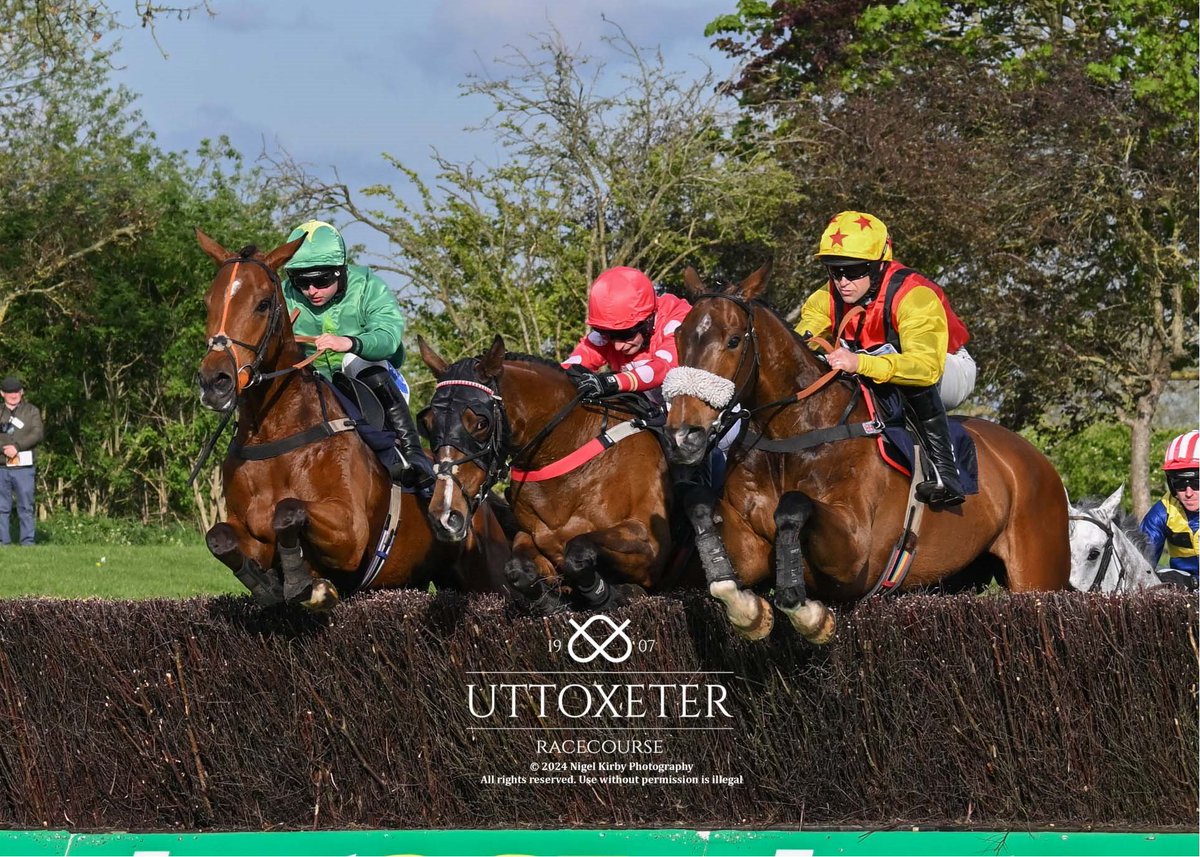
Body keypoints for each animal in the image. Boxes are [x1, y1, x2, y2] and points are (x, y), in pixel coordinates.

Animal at [193, 230, 511, 607]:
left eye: (263, 304)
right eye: (208, 303)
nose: (215, 381)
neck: (276, 431)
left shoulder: (350, 534)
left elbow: (288, 511)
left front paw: (307, 584)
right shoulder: (251, 533)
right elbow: (220, 537)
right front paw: (269, 586)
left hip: (488, 578)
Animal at [417, 336, 696, 614]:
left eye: (481, 423)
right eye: (428, 423)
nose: (445, 515)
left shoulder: (649, 546)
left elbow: (579, 550)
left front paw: (609, 596)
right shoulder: (535, 537)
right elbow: (517, 569)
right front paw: (553, 603)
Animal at [667, 264, 1070, 643]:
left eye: (734, 340)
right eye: (679, 336)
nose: (683, 434)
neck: (793, 433)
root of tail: (1038, 461)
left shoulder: (856, 552)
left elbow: (794, 506)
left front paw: (808, 613)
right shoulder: (750, 546)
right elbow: (702, 511)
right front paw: (748, 611)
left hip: (1038, 575)